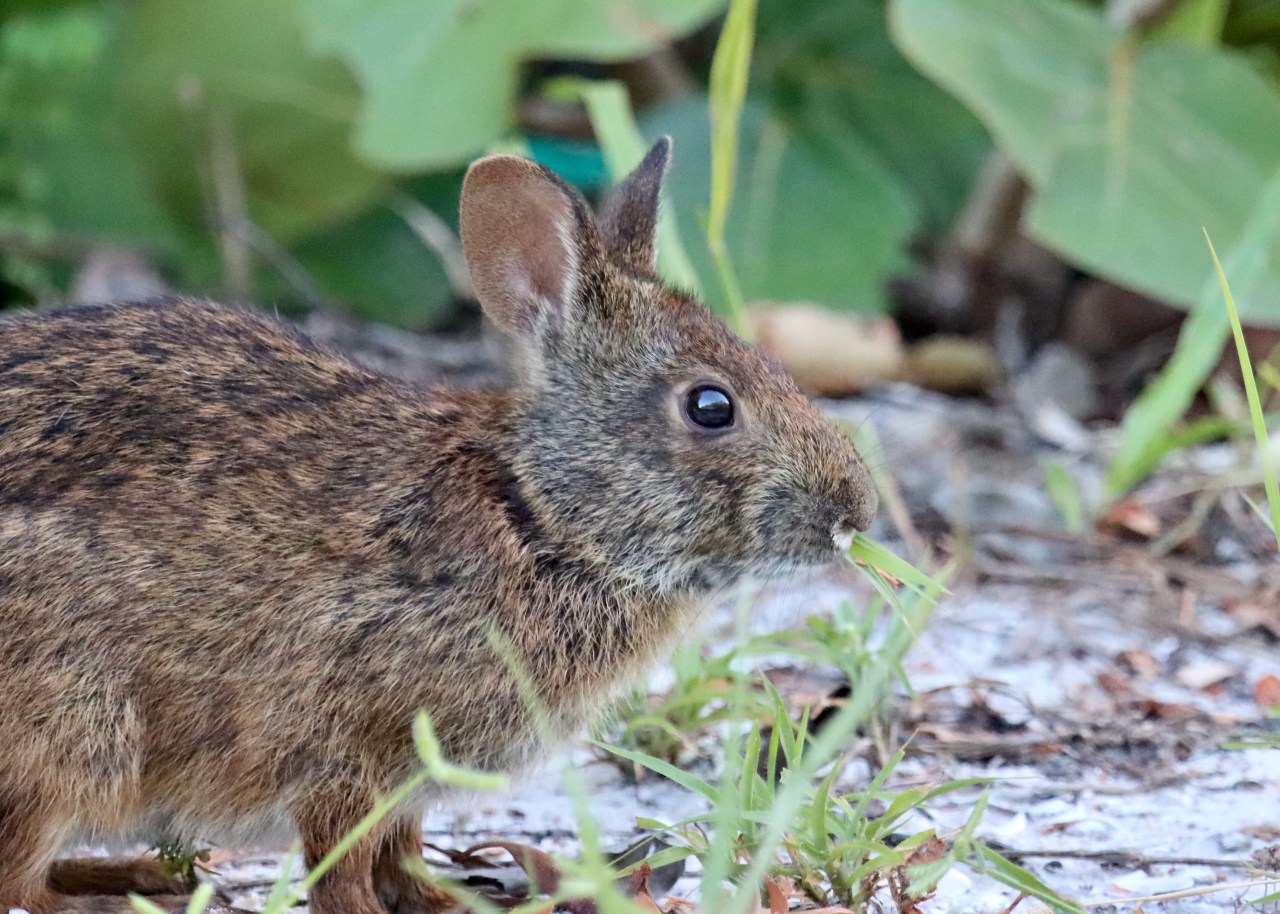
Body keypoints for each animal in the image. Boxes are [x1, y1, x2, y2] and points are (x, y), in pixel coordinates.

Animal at [0, 137, 877, 914]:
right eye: (710, 406)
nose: (854, 513)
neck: (537, 516)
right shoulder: (344, 744)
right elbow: (341, 862)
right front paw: (374, 908)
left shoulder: (410, 780)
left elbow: (401, 851)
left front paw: (448, 899)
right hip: (68, 731)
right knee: (21, 876)